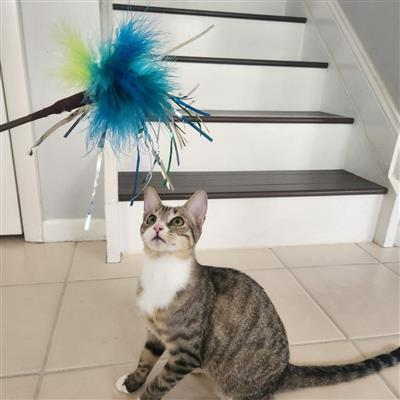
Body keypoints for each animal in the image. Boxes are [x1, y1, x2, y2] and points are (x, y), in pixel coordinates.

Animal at [115, 188, 400, 400]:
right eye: (151, 219)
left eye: (177, 221)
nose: (157, 228)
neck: (160, 271)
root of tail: (282, 372)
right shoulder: (154, 333)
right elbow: (145, 360)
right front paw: (132, 382)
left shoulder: (186, 352)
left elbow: (159, 384)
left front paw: (143, 394)